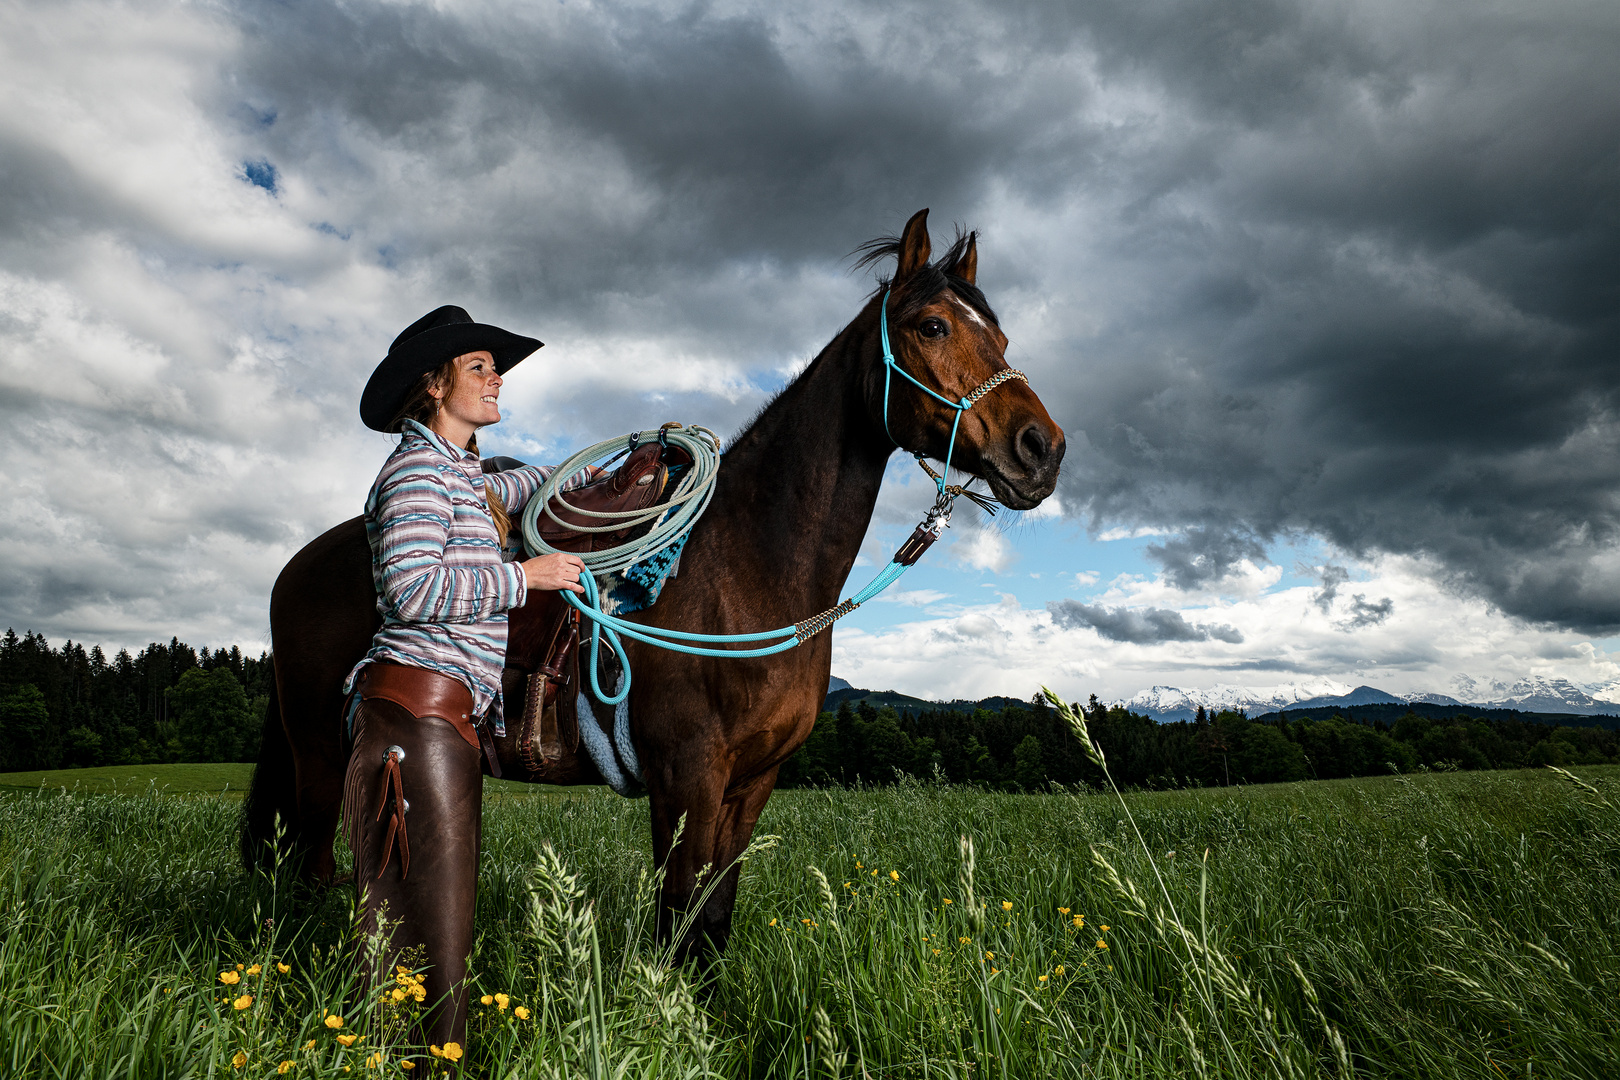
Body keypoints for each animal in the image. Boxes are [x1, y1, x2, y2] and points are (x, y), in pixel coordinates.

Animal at [239, 208, 1062, 971]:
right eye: (931, 326)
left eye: (1002, 338)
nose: (1041, 449)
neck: (748, 571)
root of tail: (297, 565)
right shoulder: (685, 780)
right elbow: (678, 926)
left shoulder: (749, 785)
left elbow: (713, 922)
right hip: (322, 758)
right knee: (311, 870)